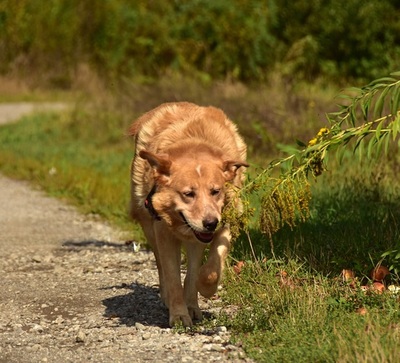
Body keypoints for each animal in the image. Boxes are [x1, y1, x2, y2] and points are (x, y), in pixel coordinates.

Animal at [129, 101, 247, 328]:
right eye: (188, 194)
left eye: (216, 191)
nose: (210, 223)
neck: (194, 142)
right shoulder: (163, 231)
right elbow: (172, 275)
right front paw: (178, 315)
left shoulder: (227, 219)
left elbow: (209, 269)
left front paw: (206, 288)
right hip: (148, 224)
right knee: (161, 265)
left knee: (192, 269)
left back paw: (192, 304)